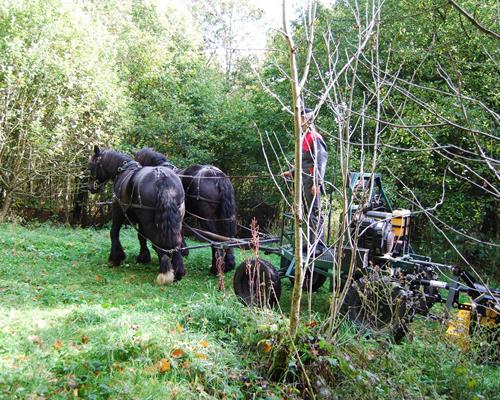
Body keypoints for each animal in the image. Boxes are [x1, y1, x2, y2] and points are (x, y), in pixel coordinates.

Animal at [88, 146, 186, 284]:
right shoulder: (140, 220)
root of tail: (161, 178)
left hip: (149, 220)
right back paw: (178, 272)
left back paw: (165, 272)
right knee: (175, 241)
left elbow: (114, 232)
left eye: (91, 165)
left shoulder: (118, 209)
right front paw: (143, 256)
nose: (91, 188)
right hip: (177, 218)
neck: (123, 170)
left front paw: (115, 258)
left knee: (158, 241)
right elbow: (141, 237)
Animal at [134, 147, 237, 276]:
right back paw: (229, 264)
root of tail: (217, 175)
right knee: (227, 236)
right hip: (224, 215)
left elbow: (141, 235)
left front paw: (143, 256)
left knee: (215, 240)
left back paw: (215, 268)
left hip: (206, 219)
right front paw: (183, 251)